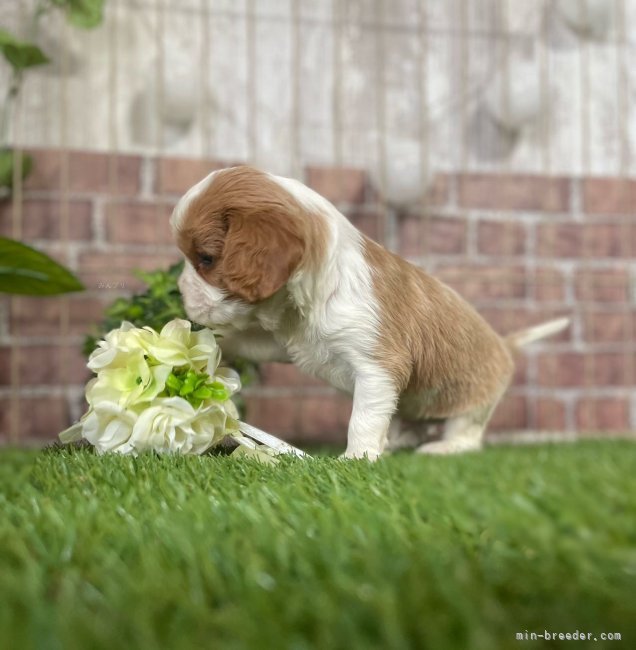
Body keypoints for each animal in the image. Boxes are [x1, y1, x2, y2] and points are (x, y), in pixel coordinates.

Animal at [171, 167, 568, 460]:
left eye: (206, 259)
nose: (179, 290)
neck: (304, 304)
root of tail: (505, 343)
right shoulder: (286, 343)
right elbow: (251, 342)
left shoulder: (377, 365)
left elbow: (362, 417)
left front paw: (357, 456)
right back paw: (400, 439)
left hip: (474, 399)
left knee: (466, 432)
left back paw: (442, 446)